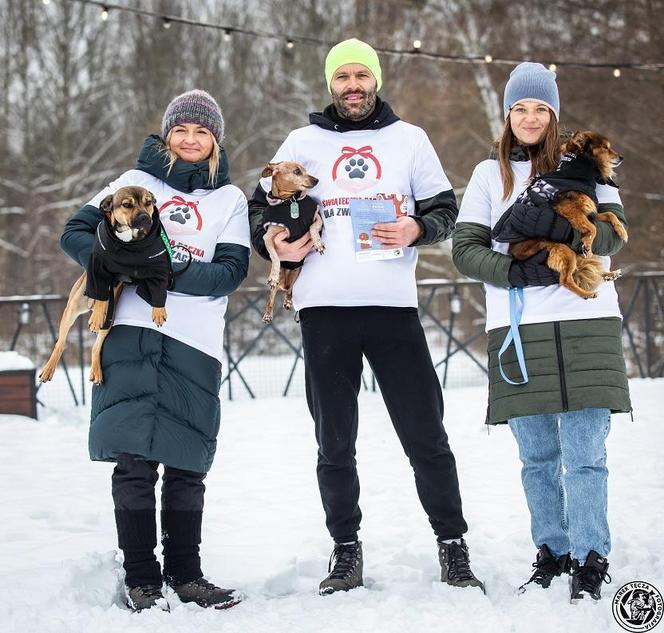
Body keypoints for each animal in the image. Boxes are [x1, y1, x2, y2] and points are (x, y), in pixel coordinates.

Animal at [39, 185, 171, 382]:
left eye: (148, 203)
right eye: (127, 204)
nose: (145, 218)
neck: (129, 242)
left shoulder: (156, 267)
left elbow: (159, 289)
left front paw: (159, 311)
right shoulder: (100, 269)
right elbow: (102, 292)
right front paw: (96, 315)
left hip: (110, 319)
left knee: (96, 346)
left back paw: (96, 370)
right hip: (71, 309)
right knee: (60, 343)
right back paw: (48, 368)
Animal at [508, 130, 628, 298]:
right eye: (605, 147)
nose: (621, 157)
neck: (577, 167)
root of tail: (514, 254)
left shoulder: (589, 212)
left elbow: (610, 214)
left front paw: (622, 232)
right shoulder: (570, 210)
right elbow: (593, 228)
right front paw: (588, 244)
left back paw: (609, 274)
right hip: (562, 250)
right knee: (565, 279)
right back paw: (587, 293)